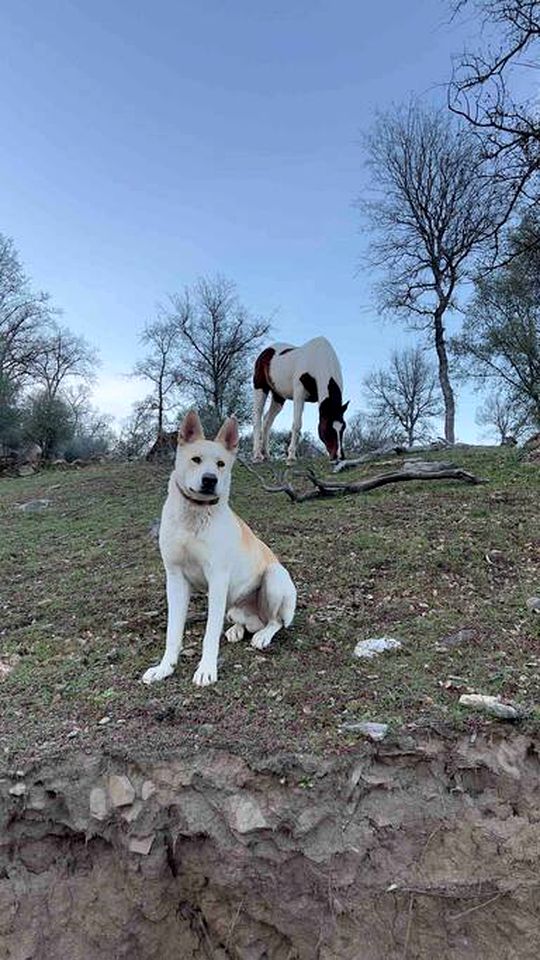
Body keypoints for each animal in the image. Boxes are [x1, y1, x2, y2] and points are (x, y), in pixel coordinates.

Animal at [141, 408, 298, 688]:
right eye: (196, 459)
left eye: (221, 464)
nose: (209, 480)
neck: (195, 514)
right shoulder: (175, 578)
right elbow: (173, 633)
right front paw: (164, 668)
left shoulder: (217, 578)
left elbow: (210, 633)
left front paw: (206, 669)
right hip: (232, 604)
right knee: (243, 621)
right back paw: (237, 629)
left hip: (274, 577)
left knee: (275, 621)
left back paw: (264, 635)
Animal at [251, 334, 348, 462]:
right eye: (328, 428)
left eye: (343, 427)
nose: (339, 456)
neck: (318, 358)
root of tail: (266, 352)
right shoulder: (299, 394)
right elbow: (297, 424)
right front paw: (291, 457)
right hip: (260, 388)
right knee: (257, 417)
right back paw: (257, 454)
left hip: (278, 397)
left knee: (267, 420)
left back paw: (266, 454)